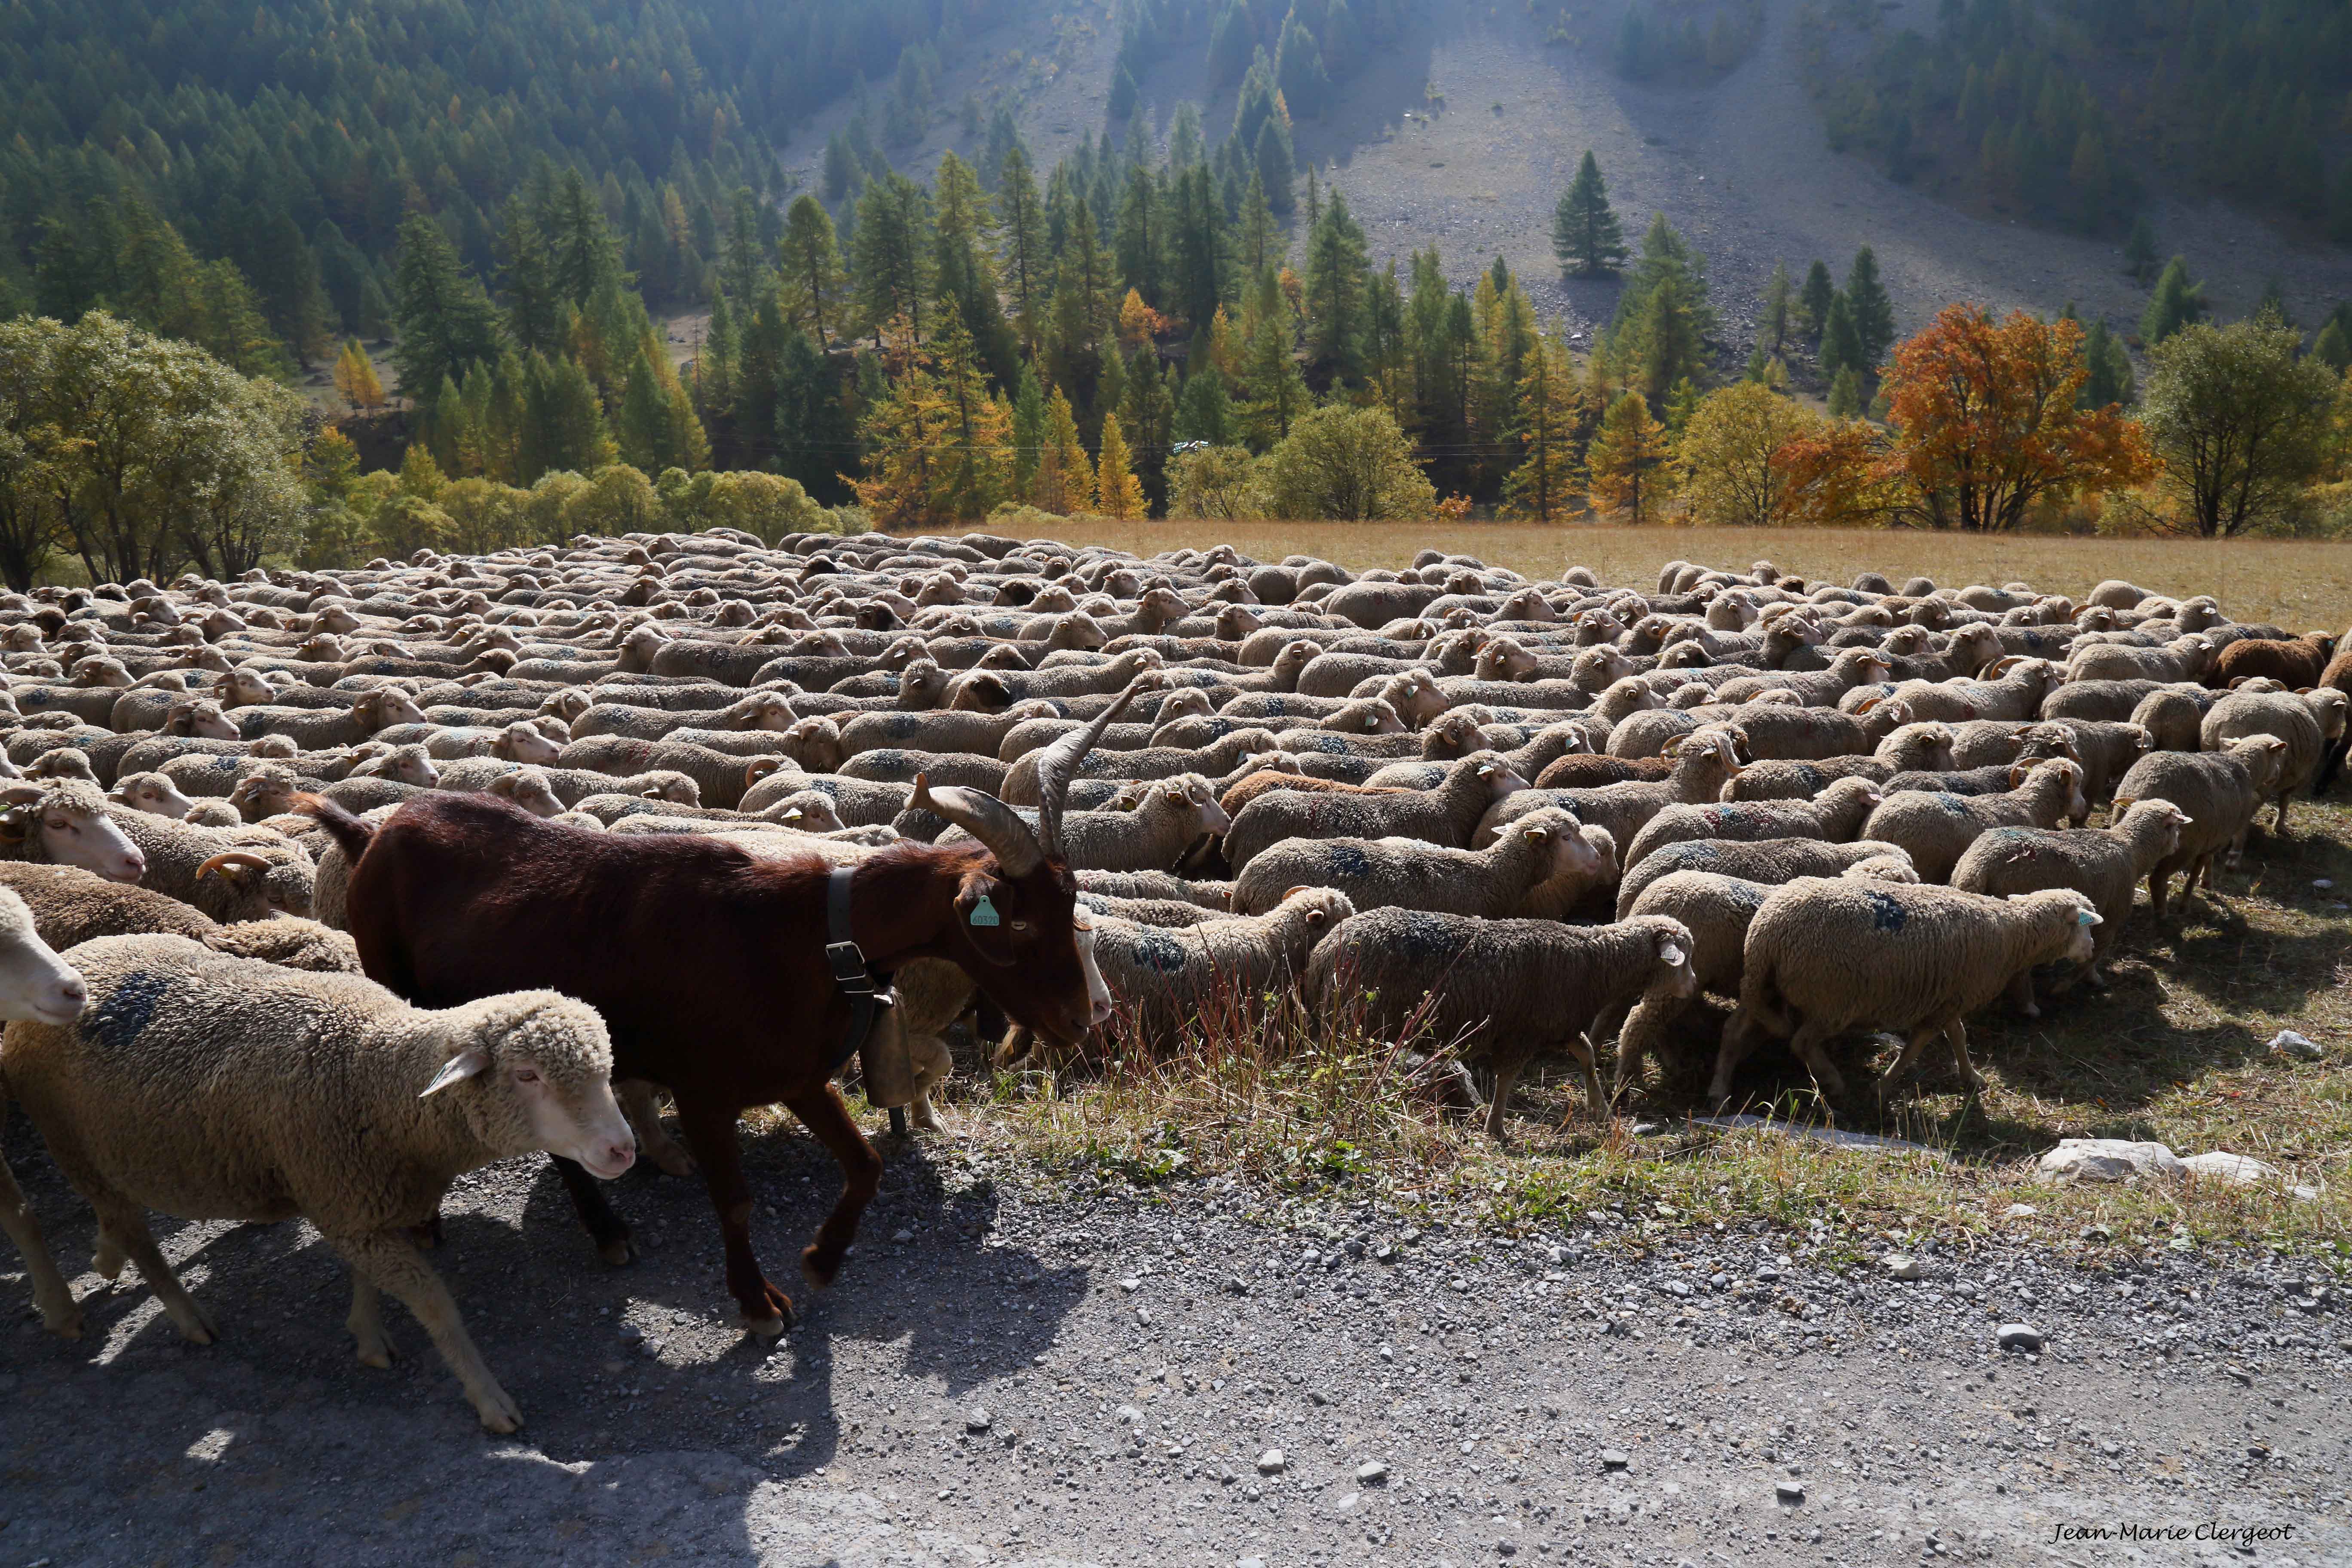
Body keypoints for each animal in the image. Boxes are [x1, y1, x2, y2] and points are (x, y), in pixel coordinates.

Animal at [0, 934, 634, 1431]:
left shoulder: (358, 1204)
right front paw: (489, 1397)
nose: (623, 1149)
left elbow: (367, 1279)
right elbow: (436, 1306)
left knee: (115, 1221)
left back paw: (104, 1259)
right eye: (527, 1076)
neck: (377, 1075)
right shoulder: (347, 1201)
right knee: (137, 1236)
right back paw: (185, 1316)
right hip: (73, 1143)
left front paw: (369, 1339)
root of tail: (82, 956)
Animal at [1303, 909, 1696, 1139]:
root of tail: (1322, 952)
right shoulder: (1521, 1032)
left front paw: (1599, 1108)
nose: (1693, 985)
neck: (1595, 962)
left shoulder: (1557, 1025)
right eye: (1685, 956)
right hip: (1356, 1020)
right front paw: (1496, 1126)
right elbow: (1507, 1079)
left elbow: (1586, 1054)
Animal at [1715, 882, 2100, 1104]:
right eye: (2086, 926)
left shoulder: (1949, 996)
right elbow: (1918, 1046)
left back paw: (1719, 1089)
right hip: (1833, 999)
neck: (2013, 933)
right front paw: (1883, 1087)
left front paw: (1971, 1077)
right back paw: (1834, 1083)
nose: (2093, 950)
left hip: (1764, 986)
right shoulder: (1949, 1000)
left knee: (1733, 1031)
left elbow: (1958, 1036)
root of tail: (1768, 933)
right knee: (1802, 1042)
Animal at [1950, 800, 2192, 1006]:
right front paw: (2069, 984)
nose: (2177, 845)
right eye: (2176, 828)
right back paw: (2029, 1004)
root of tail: (1978, 866)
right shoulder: (2111, 917)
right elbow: (2094, 955)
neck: (2131, 849)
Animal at [2110, 736, 2291, 918]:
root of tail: (2145, 787)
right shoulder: (2216, 840)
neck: (2245, 769)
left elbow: (2207, 862)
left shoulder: (2213, 834)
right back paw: (2163, 913)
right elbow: (2195, 872)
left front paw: (2207, 881)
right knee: (2157, 880)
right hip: (2182, 847)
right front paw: (2186, 904)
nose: (2277, 774)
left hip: (2122, 821)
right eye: (2278, 756)